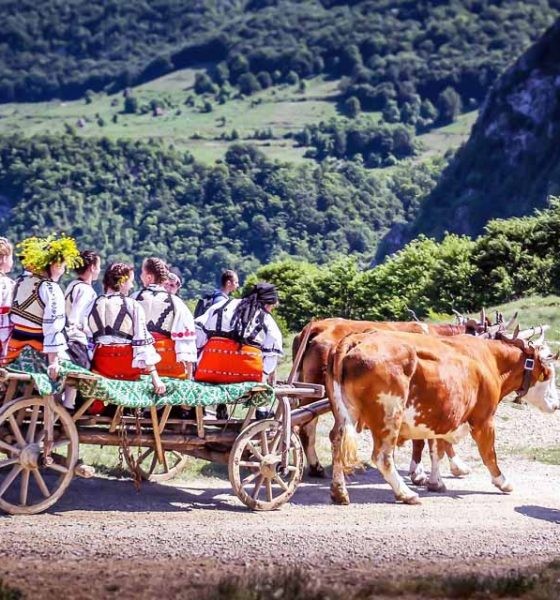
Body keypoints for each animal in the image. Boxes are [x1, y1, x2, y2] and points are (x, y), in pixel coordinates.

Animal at [326, 329, 559, 505]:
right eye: (548, 374)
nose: (556, 405)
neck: (490, 359)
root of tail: (357, 338)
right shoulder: (484, 419)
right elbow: (488, 453)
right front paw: (503, 481)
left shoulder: (441, 417)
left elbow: (436, 450)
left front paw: (435, 482)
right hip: (389, 415)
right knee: (382, 457)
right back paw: (405, 494)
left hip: (345, 413)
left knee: (337, 439)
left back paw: (339, 491)